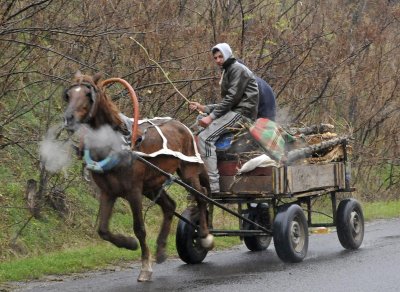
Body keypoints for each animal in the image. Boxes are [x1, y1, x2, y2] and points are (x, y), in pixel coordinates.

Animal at [62, 71, 212, 282]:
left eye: (88, 95)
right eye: (68, 95)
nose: (69, 118)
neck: (117, 144)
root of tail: (184, 126)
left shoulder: (133, 191)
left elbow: (139, 228)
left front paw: (145, 267)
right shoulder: (108, 192)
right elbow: (103, 230)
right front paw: (129, 243)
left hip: (188, 171)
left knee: (202, 196)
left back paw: (204, 235)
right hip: (152, 185)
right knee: (170, 206)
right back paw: (161, 249)